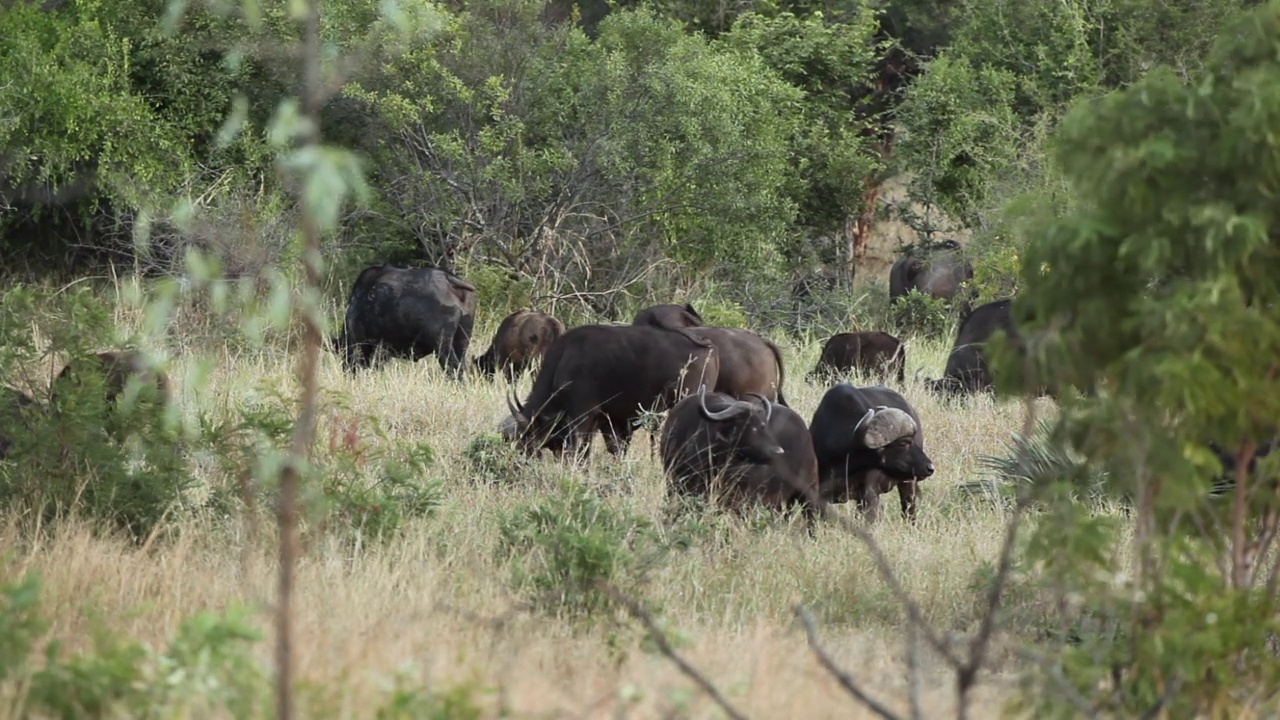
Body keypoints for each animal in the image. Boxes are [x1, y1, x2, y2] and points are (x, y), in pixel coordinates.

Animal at [501, 324, 721, 456]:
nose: (523, 454)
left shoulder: (583, 414)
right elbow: (614, 449)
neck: (564, 359)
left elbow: (579, 448)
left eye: (526, 437)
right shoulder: (608, 420)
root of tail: (709, 348)